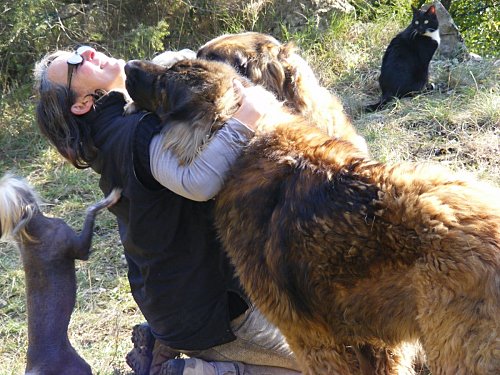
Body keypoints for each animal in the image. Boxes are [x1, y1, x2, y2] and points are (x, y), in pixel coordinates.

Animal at [0, 176, 121, 375]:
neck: (31, 232)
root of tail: (36, 368)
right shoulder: (79, 248)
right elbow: (91, 210)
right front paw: (111, 197)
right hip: (80, 367)